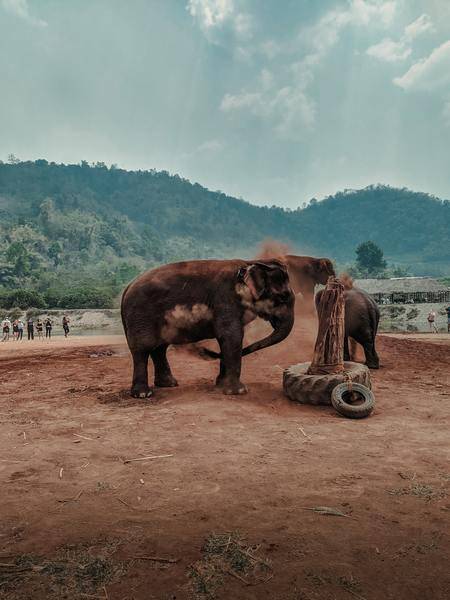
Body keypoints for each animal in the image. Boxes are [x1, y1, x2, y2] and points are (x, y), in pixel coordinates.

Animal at [119, 258, 296, 398]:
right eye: (283, 297)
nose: (207, 351)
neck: (251, 262)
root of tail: (127, 288)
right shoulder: (225, 299)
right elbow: (232, 337)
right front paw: (238, 392)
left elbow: (227, 339)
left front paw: (221, 384)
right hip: (141, 315)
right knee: (142, 348)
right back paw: (143, 394)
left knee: (159, 348)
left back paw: (169, 384)